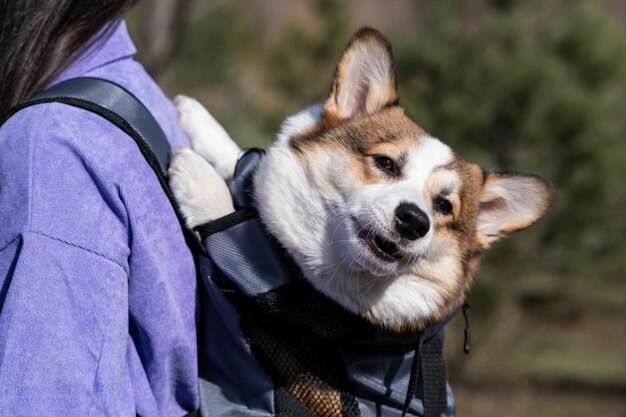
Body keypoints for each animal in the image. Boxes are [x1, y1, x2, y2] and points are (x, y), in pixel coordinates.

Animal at [167, 27, 552, 334]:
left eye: (444, 205)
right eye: (385, 162)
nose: (414, 220)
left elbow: (223, 217)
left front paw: (199, 180)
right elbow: (240, 160)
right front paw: (199, 119)